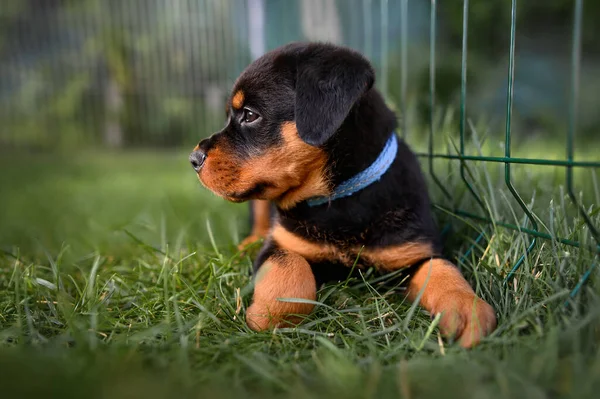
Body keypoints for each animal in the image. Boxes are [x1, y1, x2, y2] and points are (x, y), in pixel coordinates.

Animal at [190, 41, 494, 346]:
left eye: (250, 115)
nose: (194, 158)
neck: (338, 199)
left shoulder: (416, 247)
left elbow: (442, 269)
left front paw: (466, 308)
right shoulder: (283, 241)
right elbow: (288, 265)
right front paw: (269, 316)